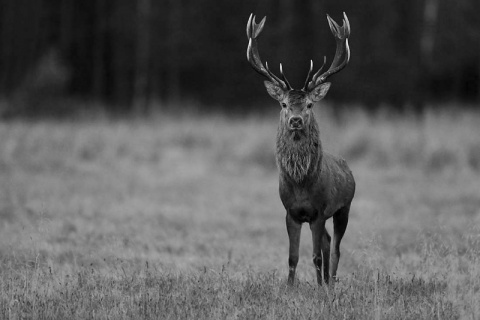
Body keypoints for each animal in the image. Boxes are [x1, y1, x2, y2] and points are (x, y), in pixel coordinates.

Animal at [246, 12, 354, 284]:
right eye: (284, 104)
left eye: (309, 105)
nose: (295, 120)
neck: (301, 184)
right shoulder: (290, 213)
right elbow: (292, 257)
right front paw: (290, 287)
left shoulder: (319, 211)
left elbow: (315, 256)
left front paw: (318, 288)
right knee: (327, 241)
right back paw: (326, 281)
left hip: (344, 207)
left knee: (335, 248)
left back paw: (330, 283)